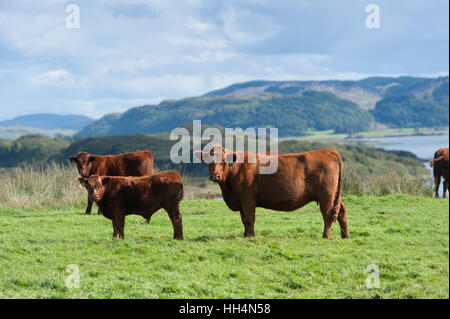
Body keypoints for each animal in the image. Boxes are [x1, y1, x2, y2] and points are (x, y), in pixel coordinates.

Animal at [193, 145, 348, 240]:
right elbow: (244, 220)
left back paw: (325, 236)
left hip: (326, 195)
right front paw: (245, 235)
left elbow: (249, 219)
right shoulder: (241, 201)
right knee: (341, 211)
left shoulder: (247, 199)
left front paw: (250, 236)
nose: (215, 176)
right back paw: (345, 236)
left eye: (224, 162)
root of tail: (327, 150)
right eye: (209, 161)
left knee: (328, 215)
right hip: (335, 194)